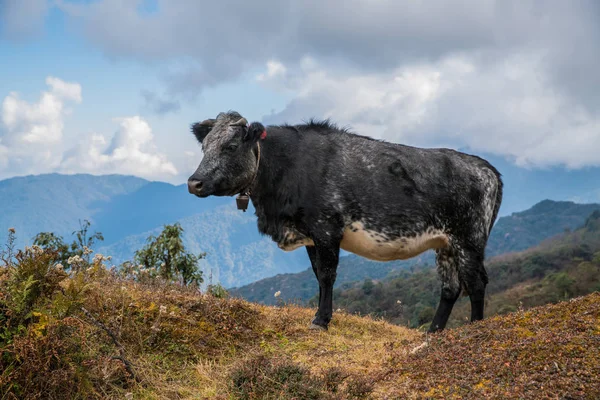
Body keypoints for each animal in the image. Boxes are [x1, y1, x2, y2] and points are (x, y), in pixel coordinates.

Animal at [188, 111, 502, 332]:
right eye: (204, 147)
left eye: (230, 146)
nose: (194, 183)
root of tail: (486, 167)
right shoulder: (310, 235)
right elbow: (318, 275)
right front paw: (320, 315)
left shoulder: (327, 229)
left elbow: (328, 275)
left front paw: (321, 321)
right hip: (444, 243)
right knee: (450, 287)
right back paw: (433, 333)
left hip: (469, 238)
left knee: (476, 282)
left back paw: (475, 329)